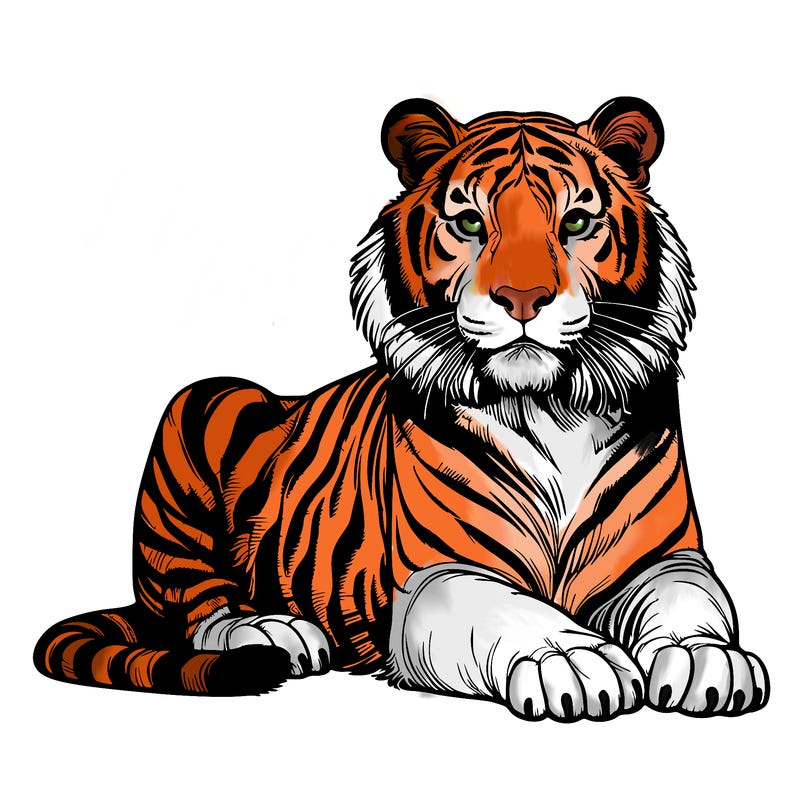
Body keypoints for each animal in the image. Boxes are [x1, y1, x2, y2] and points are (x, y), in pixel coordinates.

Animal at [34, 97, 769, 720]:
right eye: (469, 222)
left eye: (577, 223)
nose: (523, 299)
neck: (549, 408)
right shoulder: (436, 576)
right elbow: (508, 610)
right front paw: (574, 659)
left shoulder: (667, 555)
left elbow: (691, 600)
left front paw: (708, 659)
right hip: (204, 400)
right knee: (198, 606)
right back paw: (271, 630)